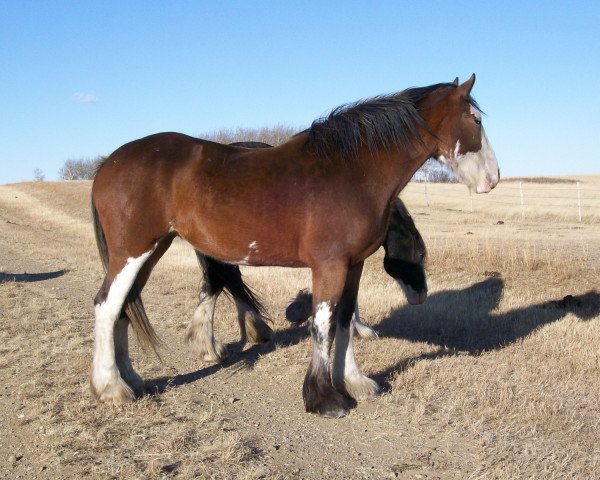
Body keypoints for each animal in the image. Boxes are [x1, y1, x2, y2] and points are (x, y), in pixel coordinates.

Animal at [91, 74, 500, 416]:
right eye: (476, 121)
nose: (493, 179)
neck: (352, 170)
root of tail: (109, 162)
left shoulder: (353, 265)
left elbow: (345, 320)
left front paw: (355, 382)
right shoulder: (329, 265)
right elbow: (322, 324)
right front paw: (325, 398)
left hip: (150, 251)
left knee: (125, 306)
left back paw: (133, 379)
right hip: (133, 252)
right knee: (107, 306)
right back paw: (111, 387)